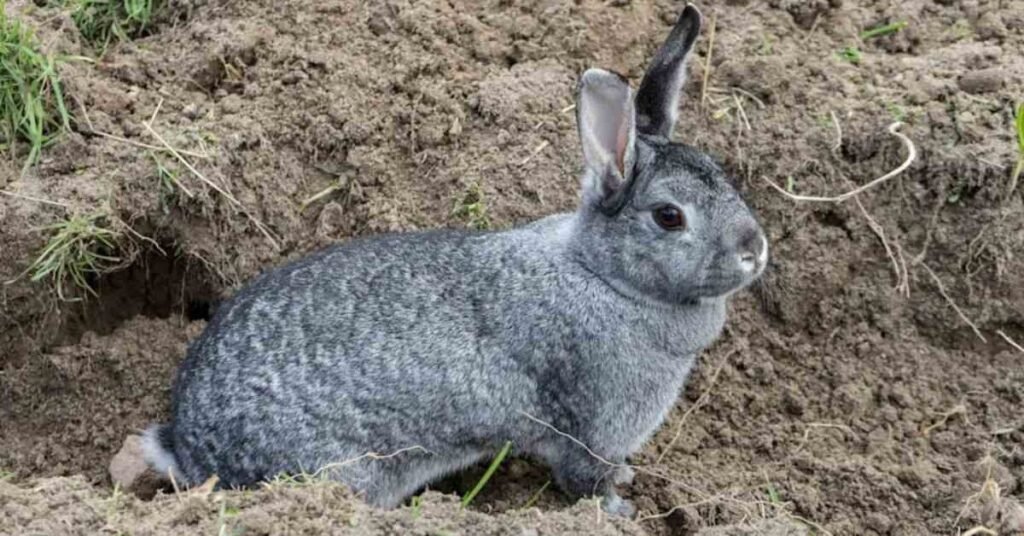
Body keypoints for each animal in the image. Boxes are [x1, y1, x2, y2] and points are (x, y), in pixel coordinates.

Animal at [141, 4, 767, 518]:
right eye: (669, 217)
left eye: (722, 174)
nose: (754, 250)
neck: (605, 275)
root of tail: (189, 448)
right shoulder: (591, 426)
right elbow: (585, 479)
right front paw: (621, 510)